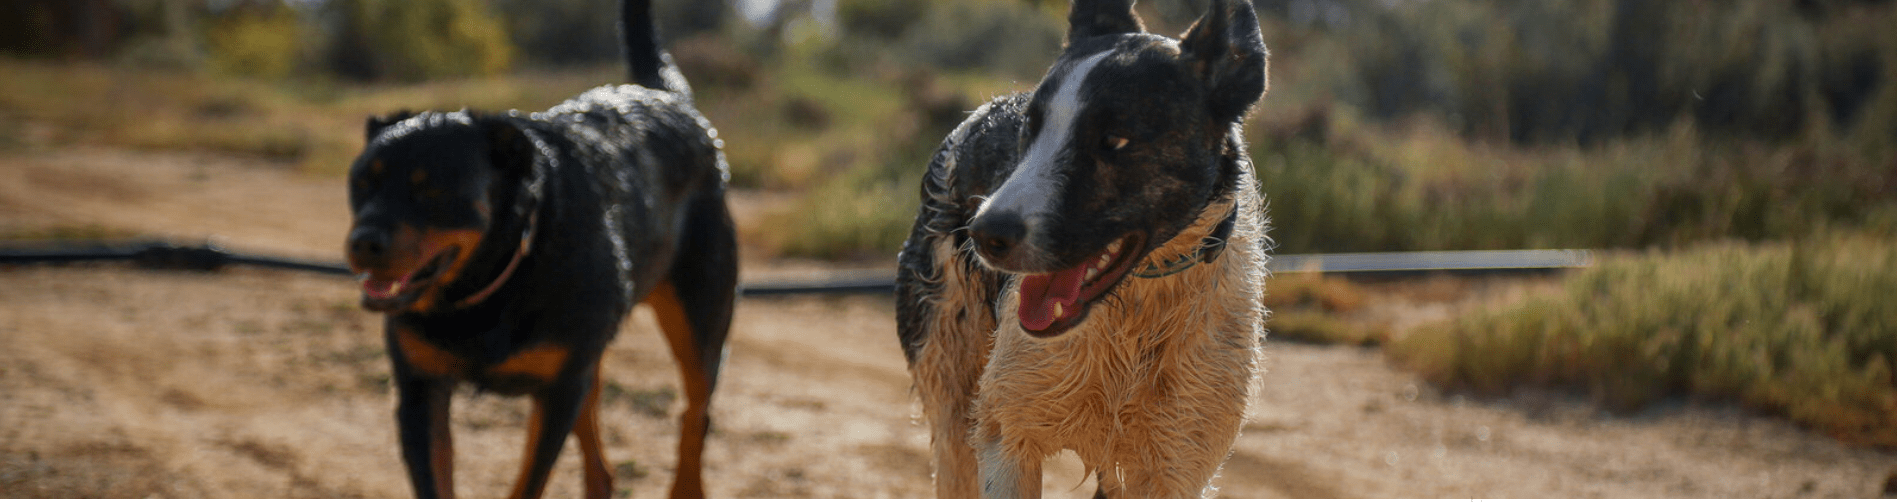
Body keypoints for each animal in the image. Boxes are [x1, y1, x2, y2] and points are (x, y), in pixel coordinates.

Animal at [341, 0, 732, 496]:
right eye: (360, 183)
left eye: (431, 191)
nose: (362, 242)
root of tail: (667, 99)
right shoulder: (420, 390)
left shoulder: (558, 392)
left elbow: (529, 481)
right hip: (588, 361)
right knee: (599, 444)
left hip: (698, 325)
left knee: (696, 411)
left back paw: (686, 485)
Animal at [891, 0, 1274, 492]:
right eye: (1030, 129)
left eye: (1115, 140)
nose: (983, 233)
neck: (1134, 310)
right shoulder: (1007, 440)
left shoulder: (1175, 466)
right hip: (950, 391)